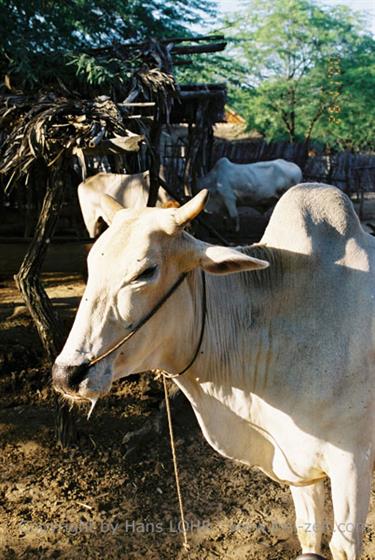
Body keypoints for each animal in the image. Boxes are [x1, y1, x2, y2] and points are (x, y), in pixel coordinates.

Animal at [53, 185, 375, 560]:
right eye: (92, 265)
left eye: (145, 272)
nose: (66, 375)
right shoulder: (300, 466)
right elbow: (308, 535)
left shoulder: (352, 462)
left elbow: (343, 545)